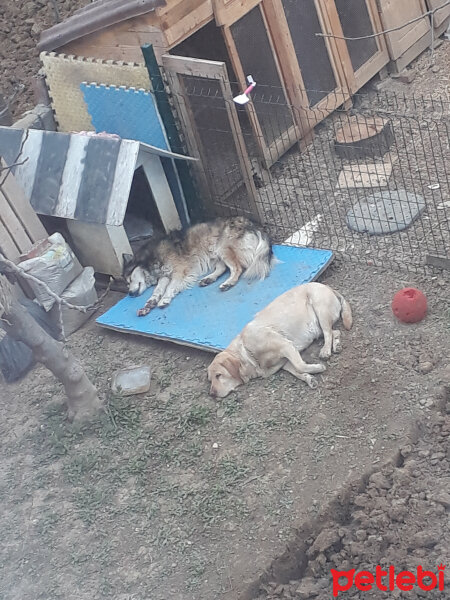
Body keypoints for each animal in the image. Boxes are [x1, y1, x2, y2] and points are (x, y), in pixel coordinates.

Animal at [207, 282, 352, 398]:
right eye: (210, 380)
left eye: (218, 375)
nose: (212, 394)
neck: (248, 352)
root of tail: (327, 287)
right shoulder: (285, 361)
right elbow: (297, 371)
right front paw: (308, 378)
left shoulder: (286, 346)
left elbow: (300, 365)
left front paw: (317, 368)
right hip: (317, 328)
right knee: (335, 332)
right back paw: (336, 345)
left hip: (320, 310)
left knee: (328, 333)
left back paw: (326, 350)